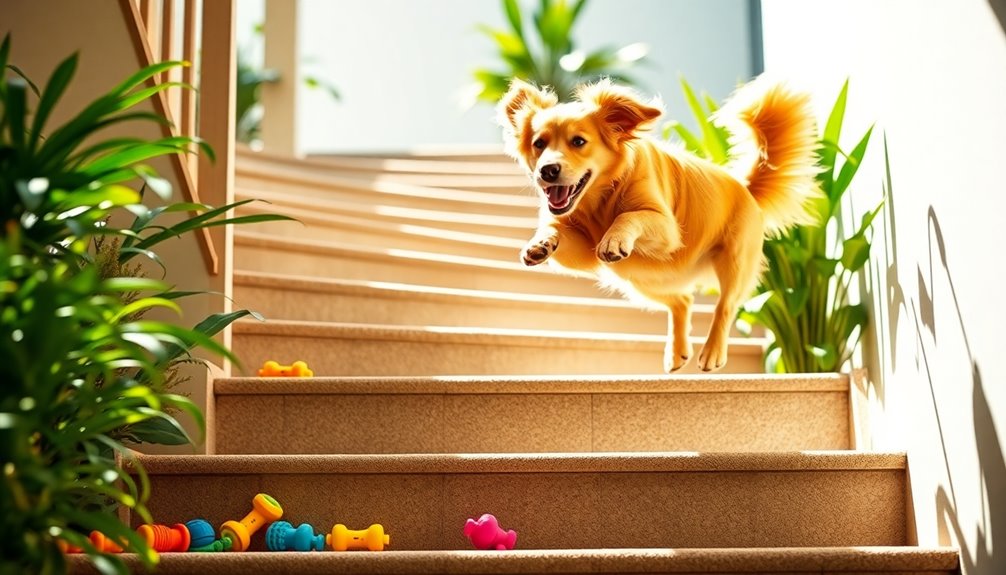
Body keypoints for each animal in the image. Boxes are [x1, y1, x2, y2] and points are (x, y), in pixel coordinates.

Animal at [498, 76, 820, 369]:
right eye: (539, 144)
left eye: (578, 142)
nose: (547, 170)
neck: (599, 199)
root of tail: (745, 186)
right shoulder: (583, 252)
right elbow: (555, 228)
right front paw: (540, 243)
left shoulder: (667, 229)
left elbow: (629, 215)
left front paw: (614, 237)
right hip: (637, 279)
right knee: (682, 301)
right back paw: (676, 353)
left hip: (733, 260)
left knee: (725, 305)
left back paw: (712, 352)